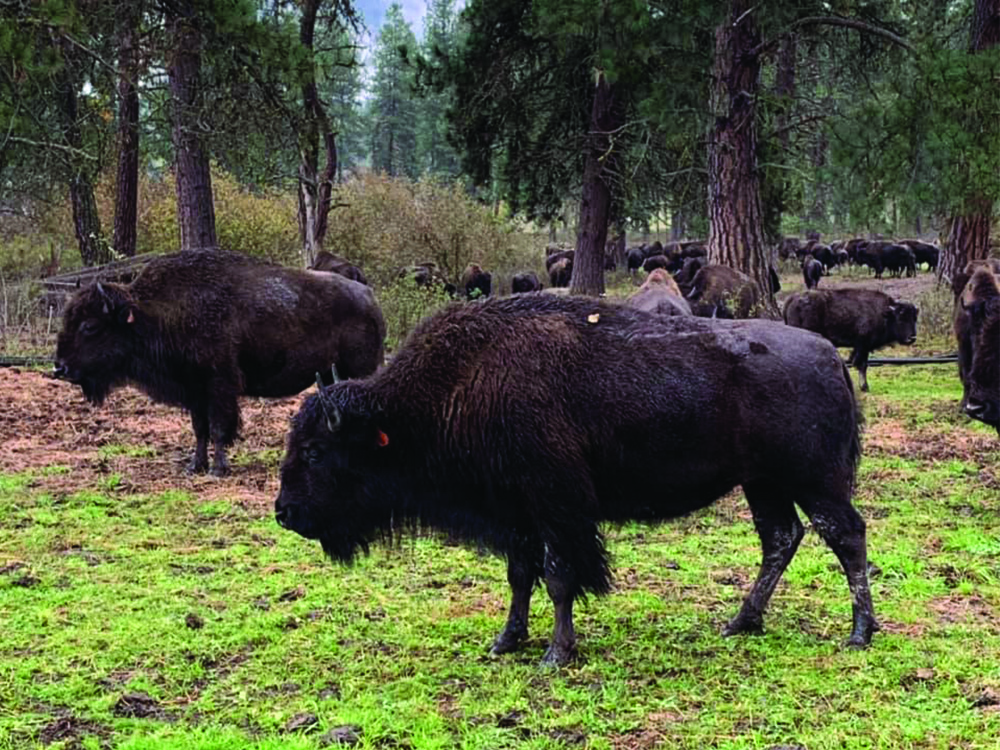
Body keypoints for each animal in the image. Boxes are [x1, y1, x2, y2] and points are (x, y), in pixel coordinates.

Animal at [53, 251, 386, 476]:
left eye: (90, 326)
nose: (60, 368)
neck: (156, 313)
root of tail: (369, 297)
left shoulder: (219, 386)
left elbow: (218, 427)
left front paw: (218, 468)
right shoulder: (194, 391)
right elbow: (200, 429)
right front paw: (194, 466)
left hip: (361, 370)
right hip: (332, 376)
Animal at [274, 296, 876, 668]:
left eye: (315, 450)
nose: (284, 512)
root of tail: (830, 356)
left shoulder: (556, 509)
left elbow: (560, 578)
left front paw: (556, 654)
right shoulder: (516, 515)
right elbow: (521, 576)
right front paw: (505, 641)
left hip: (815, 482)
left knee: (846, 537)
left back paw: (859, 634)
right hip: (763, 484)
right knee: (781, 538)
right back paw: (740, 623)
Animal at [784, 288, 916, 394]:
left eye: (914, 318)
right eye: (901, 318)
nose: (912, 338)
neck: (882, 312)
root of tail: (792, 299)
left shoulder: (859, 347)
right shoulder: (863, 346)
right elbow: (862, 365)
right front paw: (865, 387)